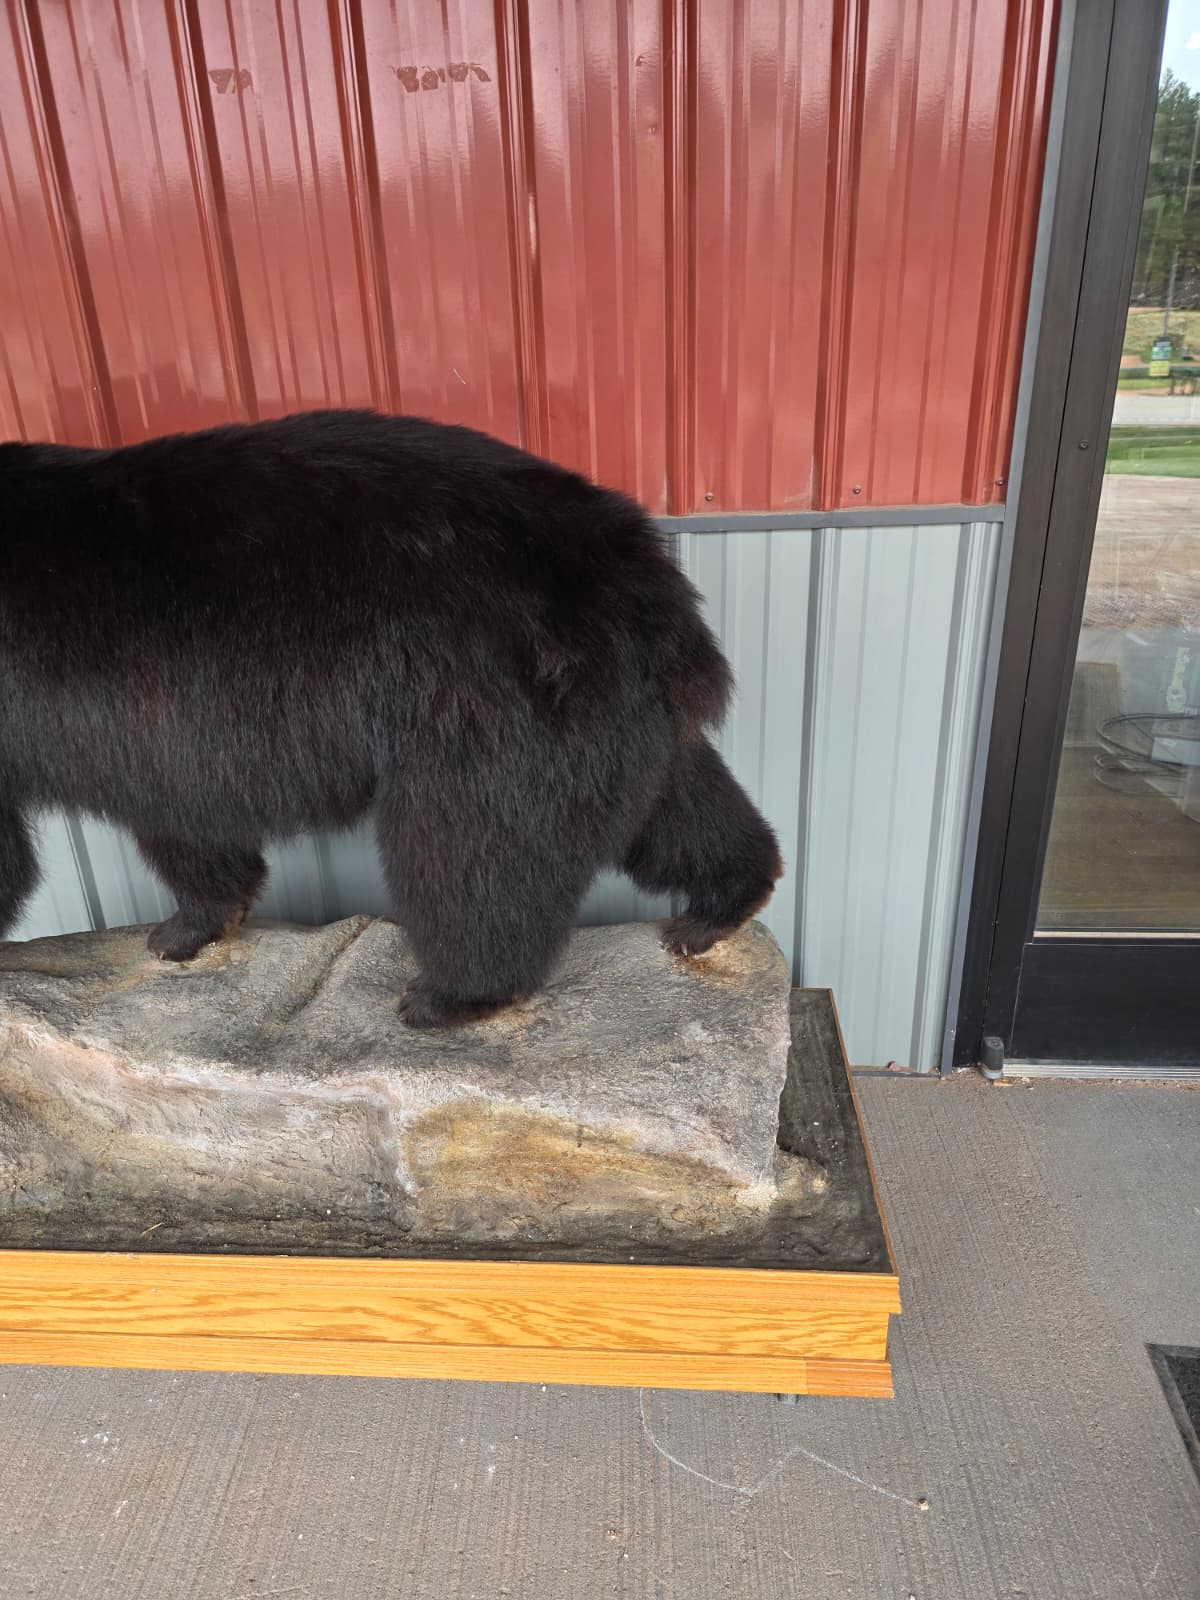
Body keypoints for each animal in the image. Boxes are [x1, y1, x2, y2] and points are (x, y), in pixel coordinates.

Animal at [0, 410, 782, 1027]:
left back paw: (449, 995)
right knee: (679, 803)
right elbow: (187, 821)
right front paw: (187, 927)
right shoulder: (151, 732)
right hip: (614, 715)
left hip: (491, 706)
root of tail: (646, 575)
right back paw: (718, 907)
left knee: (472, 854)